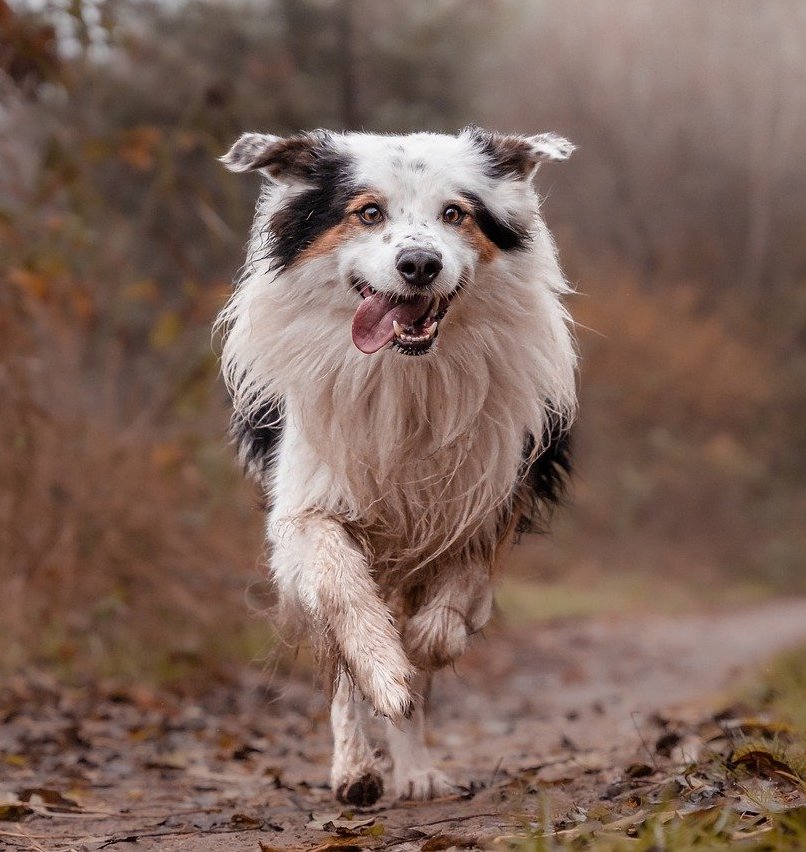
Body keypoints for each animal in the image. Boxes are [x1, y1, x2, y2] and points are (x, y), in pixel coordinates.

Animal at [218, 126, 576, 804]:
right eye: (368, 213)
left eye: (455, 214)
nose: (419, 264)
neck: (405, 376)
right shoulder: (305, 510)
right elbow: (345, 599)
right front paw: (385, 672)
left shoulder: (490, 496)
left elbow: (451, 609)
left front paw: (418, 655)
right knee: (339, 661)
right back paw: (355, 769)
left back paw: (413, 770)